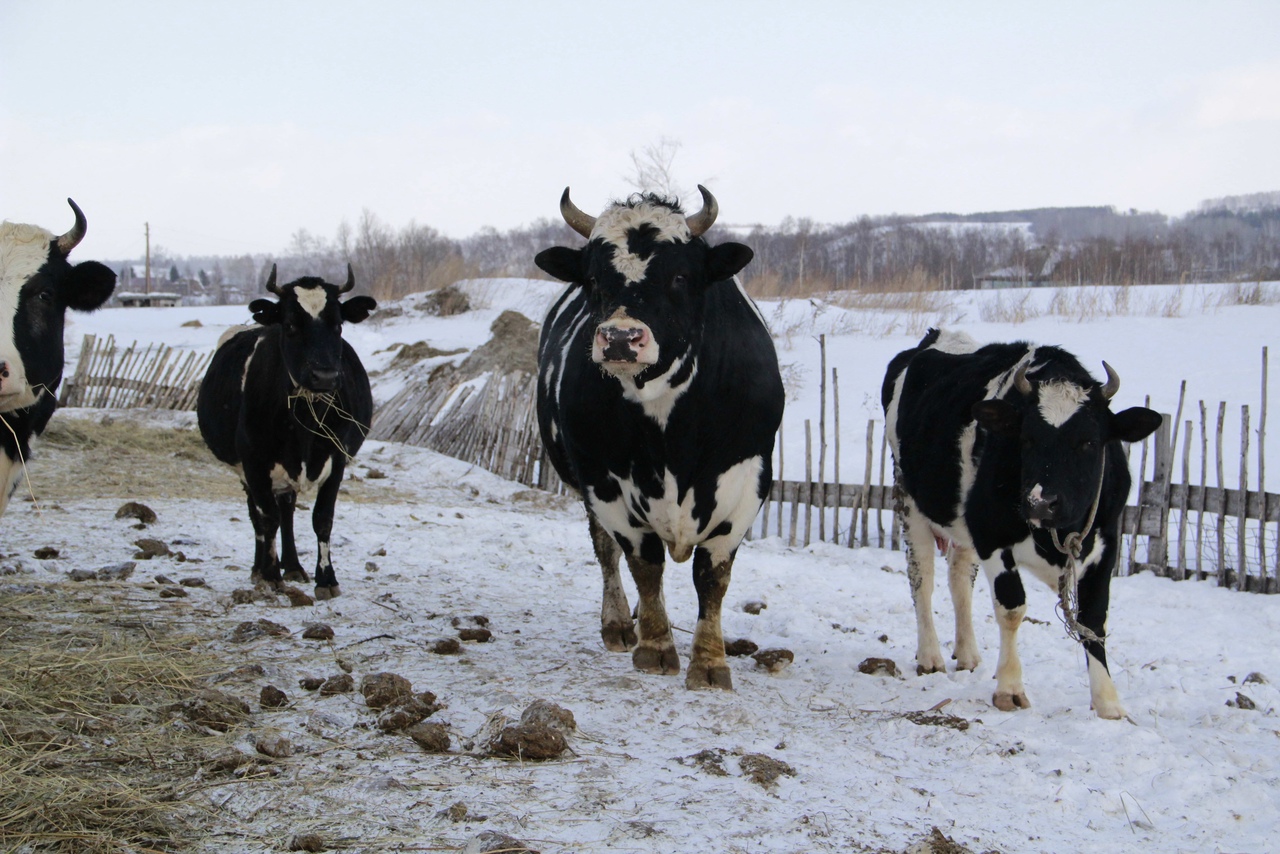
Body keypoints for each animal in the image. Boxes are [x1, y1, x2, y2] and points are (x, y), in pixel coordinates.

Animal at [195, 267, 373, 601]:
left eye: (338, 325)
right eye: (289, 325)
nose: (324, 376)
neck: (304, 419)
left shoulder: (337, 459)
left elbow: (322, 519)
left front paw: (326, 579)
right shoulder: (254, 461)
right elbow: (267, 519)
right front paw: (268, 575)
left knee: (287, 510)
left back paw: (291, 565)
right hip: (246, 470)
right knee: (260, 516)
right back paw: (261, 568)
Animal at [535, 188, 783, 696]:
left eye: (680, 276)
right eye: (594, 279)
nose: (620, 338)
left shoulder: (746, 482)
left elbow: (713, 576)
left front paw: (709, 661)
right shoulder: (604, 480)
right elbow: (643, 564)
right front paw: (655, 646)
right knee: (605, 551)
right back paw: (618, 623)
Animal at [885, 330, 1167, 717]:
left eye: (1089, 442)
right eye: (1028, 438)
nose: (1040, 502)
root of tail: (937, 336)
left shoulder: (1107, 542)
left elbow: (1094, 619)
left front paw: (1108, 702)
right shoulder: (991, 534)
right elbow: (1011, 608)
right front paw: (1010, 688)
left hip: (962, 524)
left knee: (960, 579)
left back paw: (968, 654)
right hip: (909, 500)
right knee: (922, 579)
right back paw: (930, 657)